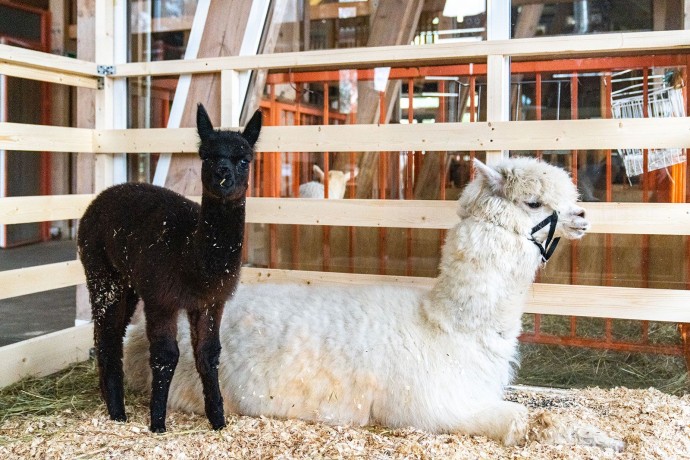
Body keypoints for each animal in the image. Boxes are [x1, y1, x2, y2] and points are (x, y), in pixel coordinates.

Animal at [123, 157, 624, 450]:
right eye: (534, 201)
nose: (583, 215)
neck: (448, 326)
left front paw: (601, 435)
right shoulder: (438, 408)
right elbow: (526, 419)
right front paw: (599, 439)